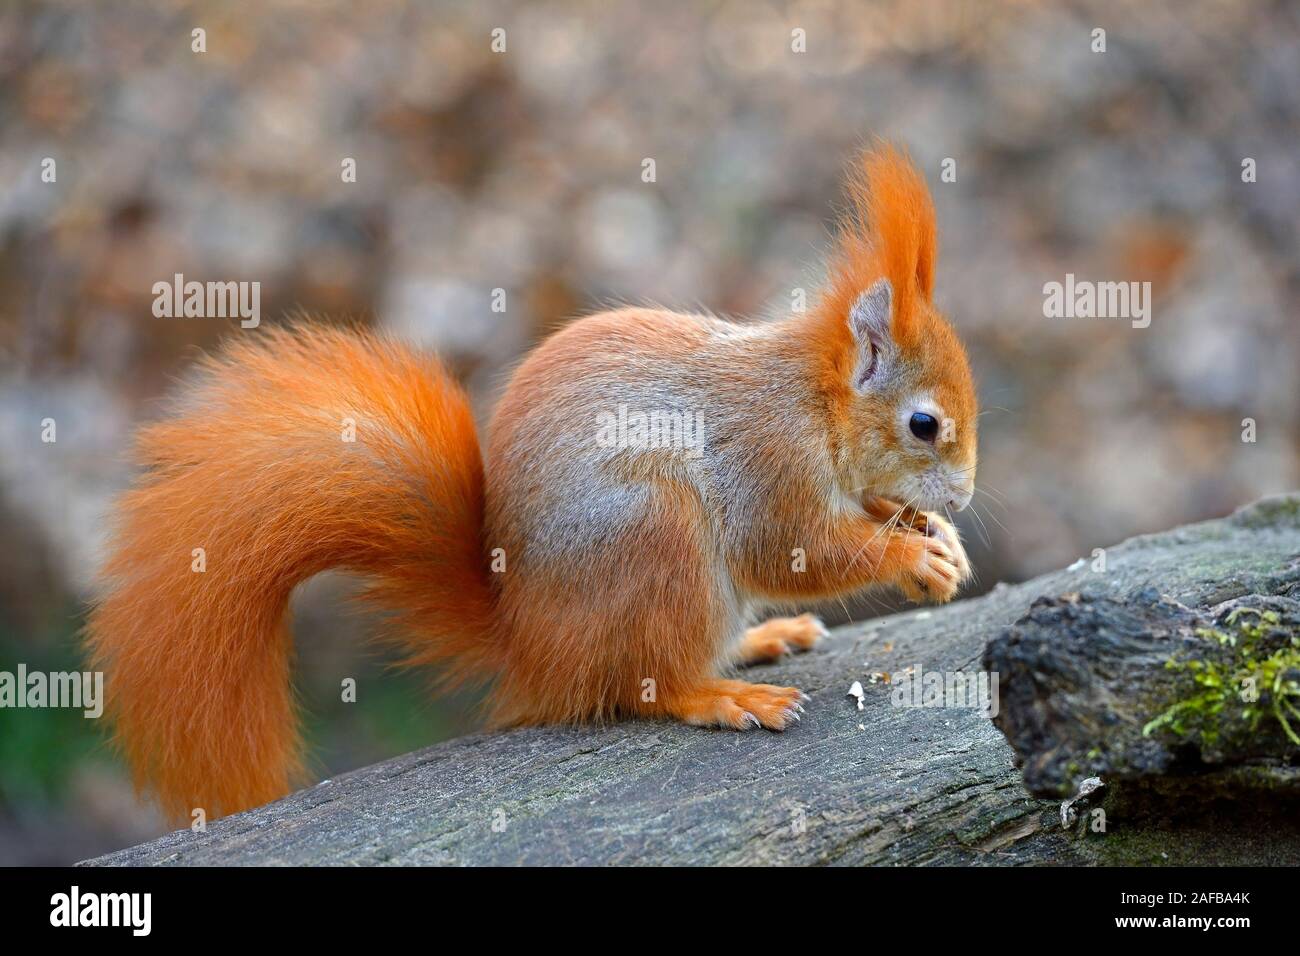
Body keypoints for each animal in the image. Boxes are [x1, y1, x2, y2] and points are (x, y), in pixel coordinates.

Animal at [86, 145, 977, 816]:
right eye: (923, 424)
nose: (966, 496)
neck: (813, 405)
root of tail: (529, 645)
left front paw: (937, 537)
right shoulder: (768, 465)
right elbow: (796, 551)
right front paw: (913, 556)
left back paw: (762, 640)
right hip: (655, 538)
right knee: (644, 686)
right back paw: (722, 696)